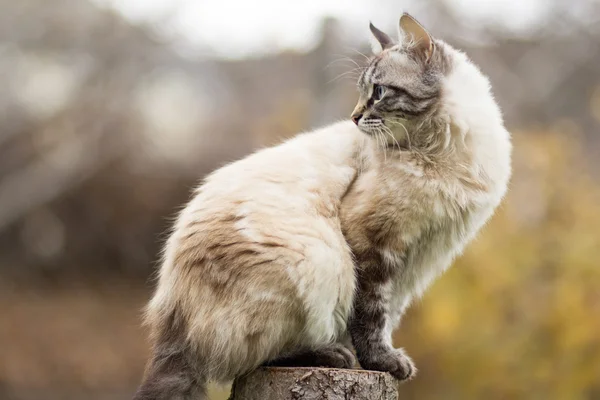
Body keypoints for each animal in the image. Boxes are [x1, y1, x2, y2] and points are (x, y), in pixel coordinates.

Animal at [135, 13, 510, 400]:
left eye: (379, 92)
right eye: (364, 91)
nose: (355, 117)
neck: (442, 153)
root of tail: (172, 322)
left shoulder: (418, 258)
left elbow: (388, 314)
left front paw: (382, 358)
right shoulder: (374, 242)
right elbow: (371, 315)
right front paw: (381, 361)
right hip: (320, 258)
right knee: (258, 356)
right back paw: (332, 354)